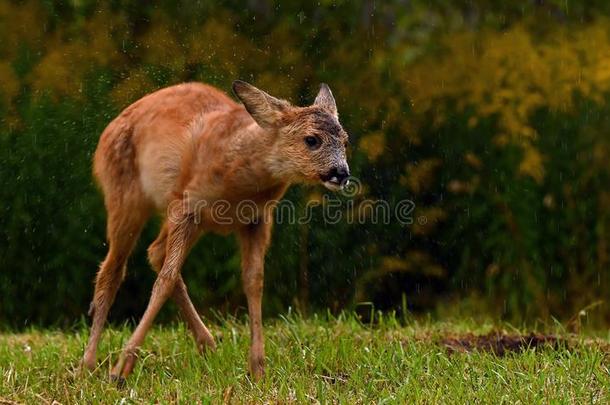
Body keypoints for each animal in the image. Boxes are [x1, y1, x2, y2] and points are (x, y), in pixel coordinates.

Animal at [78, 80, 350, 380]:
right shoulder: (186, 205)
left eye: (345, 140)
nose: (341, 172)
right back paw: (87, 364)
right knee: (113, 270)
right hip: (124, 195)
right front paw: (121, 368)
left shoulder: (257, 219)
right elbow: (165, 280)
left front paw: (258, 369)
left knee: (155, 251)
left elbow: (254, 280)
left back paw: (207, 344)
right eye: (311, 139)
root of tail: (105, 134)